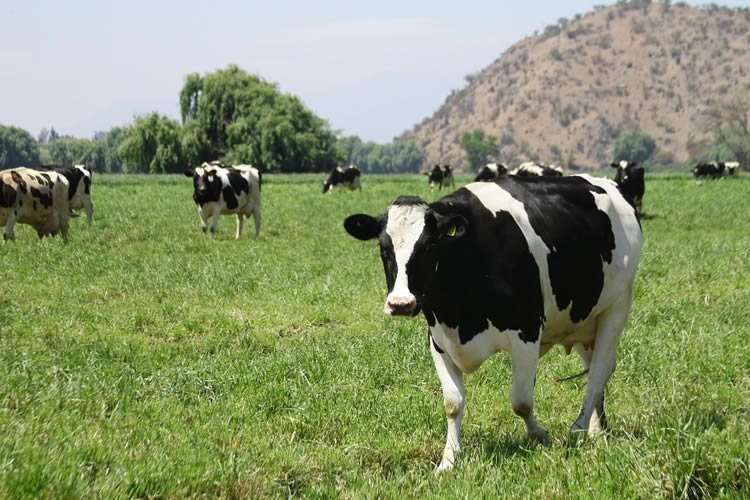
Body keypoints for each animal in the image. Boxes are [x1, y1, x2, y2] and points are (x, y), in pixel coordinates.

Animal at [344, 176, 644, 472]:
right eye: (384, 248)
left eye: (428, 246)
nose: (400, 303)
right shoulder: (438, 340)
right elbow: (452, 403)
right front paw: (449, 459)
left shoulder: (527, 332)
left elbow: (520, 400)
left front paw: (540, 436)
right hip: (583, 318)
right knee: (593, 368)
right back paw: (596, 429)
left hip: (617, 306)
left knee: (599, 371)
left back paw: (578, 428)